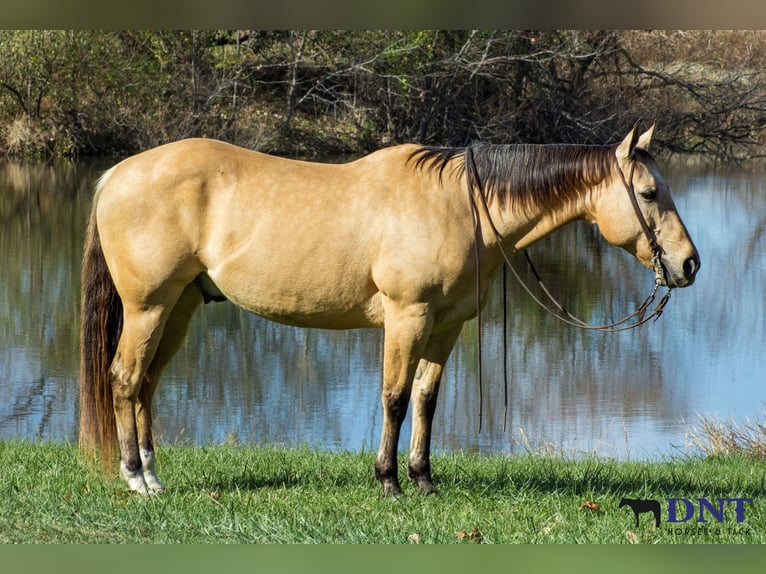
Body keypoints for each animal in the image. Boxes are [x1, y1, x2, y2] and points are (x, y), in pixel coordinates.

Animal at [79, 124, 700, 496]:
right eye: (649, 194)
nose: (689, 264)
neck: (460, 206)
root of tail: (117, 174)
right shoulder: (408, 317)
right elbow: (395, 399)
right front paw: (389, 482)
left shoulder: (446, 326)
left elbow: (426, 399)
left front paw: (423, 479)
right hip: (148, 307)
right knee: (125, 379)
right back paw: (137, 480)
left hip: (179, 308)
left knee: (146, 385)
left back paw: (153, 474)